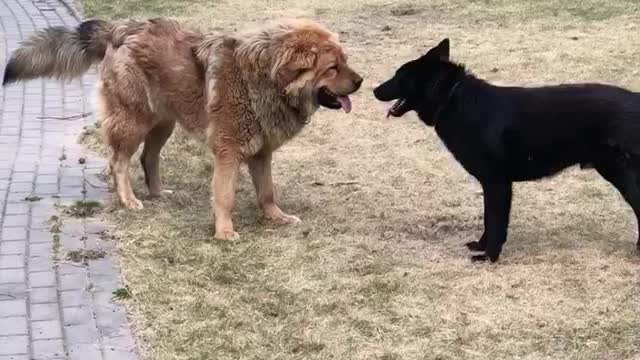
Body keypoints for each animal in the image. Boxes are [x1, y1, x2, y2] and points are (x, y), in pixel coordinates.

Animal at [5, 18, 362, 240]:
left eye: (345, 61)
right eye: (333, 68)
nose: (361, 82)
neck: (267, 77)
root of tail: (118, 29)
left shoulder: (261, 153)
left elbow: (267, 191)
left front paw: (276, 217)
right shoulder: (228, 152)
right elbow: (225, 196)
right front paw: (223, 232)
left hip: (163, 123)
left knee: (148, 158)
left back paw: (157, 192)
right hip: (133, 121)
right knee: (118, 162)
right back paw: (128, 199)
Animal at [372, 39, 640, 262]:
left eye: (398, 75)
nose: (373, 89)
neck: (451, 97)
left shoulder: (496, 183)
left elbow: (495, 222)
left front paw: (489, 257)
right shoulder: (493, 185)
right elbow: (489, 221)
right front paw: (481, 246)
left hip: (623, 175)